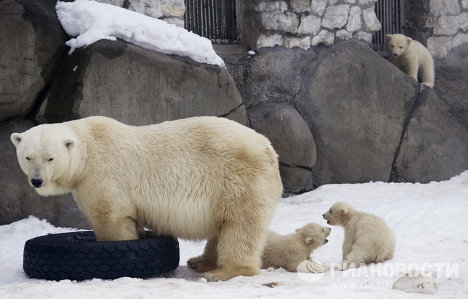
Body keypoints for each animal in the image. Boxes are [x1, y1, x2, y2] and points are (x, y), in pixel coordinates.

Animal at [11, 116, 282, 282]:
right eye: (27, 156)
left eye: (50, 157)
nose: (37, 181)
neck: (89, 147)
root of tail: (268, 148)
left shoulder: (103, 174)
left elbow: (110, 217)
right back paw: (201, 262)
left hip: (238, 178)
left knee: (240, 224)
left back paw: (224, 271)